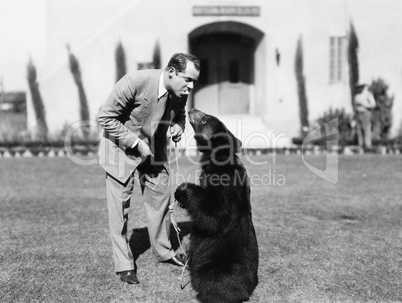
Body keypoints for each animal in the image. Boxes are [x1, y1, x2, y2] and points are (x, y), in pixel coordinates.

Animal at [174, 109, 260, 303]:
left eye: (205, 118)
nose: (191, 110)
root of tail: (250, 288)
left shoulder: (228, 190)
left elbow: (214, 217)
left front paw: (183, 189)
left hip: (219, 265)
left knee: (215, 281)